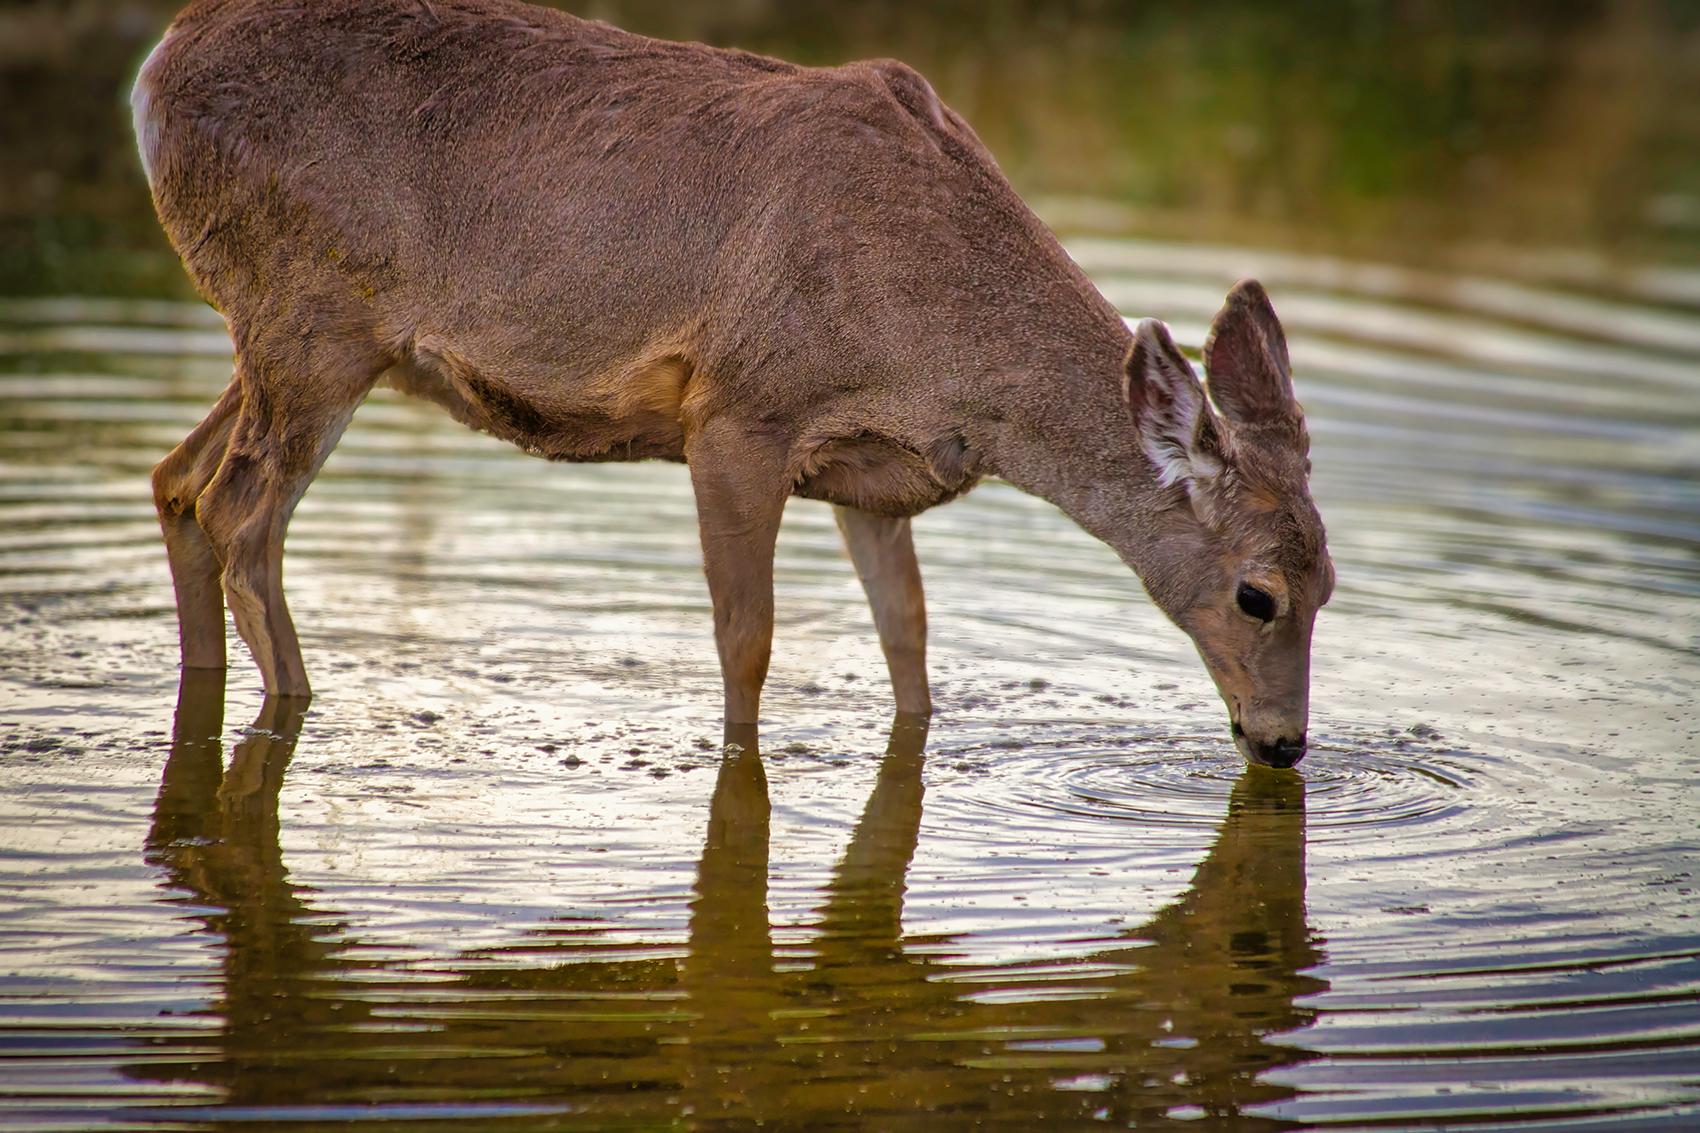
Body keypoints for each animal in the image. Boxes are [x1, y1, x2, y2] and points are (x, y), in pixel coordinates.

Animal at [133, 0, 1332, 769]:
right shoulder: (737, 412)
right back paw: (295, 710)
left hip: (283, 334)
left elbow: (908, 641)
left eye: (1328, 588)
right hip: (315, 318)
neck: (949, 348)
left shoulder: (868, 477)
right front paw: (742, 770)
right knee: (242, 512)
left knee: (177, 480)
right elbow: (746, 642)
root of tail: (156, 69)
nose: (1282, 744)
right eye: (1256, 593)